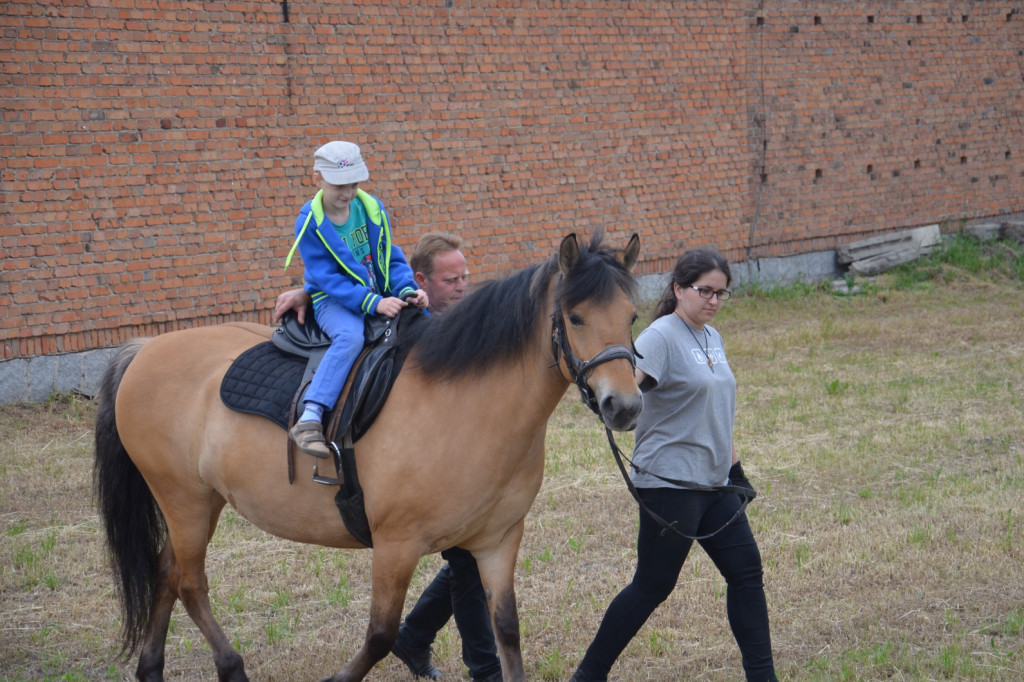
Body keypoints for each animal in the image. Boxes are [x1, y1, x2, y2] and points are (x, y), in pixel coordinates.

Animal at [94, 231, 638, 675]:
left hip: (202, 501)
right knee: (189, 582)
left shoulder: (497, 541)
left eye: (632, 316)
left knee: (168, 573)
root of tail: (144, 350)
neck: (464, 403)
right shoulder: (396, 546)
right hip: (182, 498)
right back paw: (231, 666)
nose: (625, 405)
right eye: (575, 317)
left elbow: (505, 630)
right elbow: (379, 636)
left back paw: (152, 668)